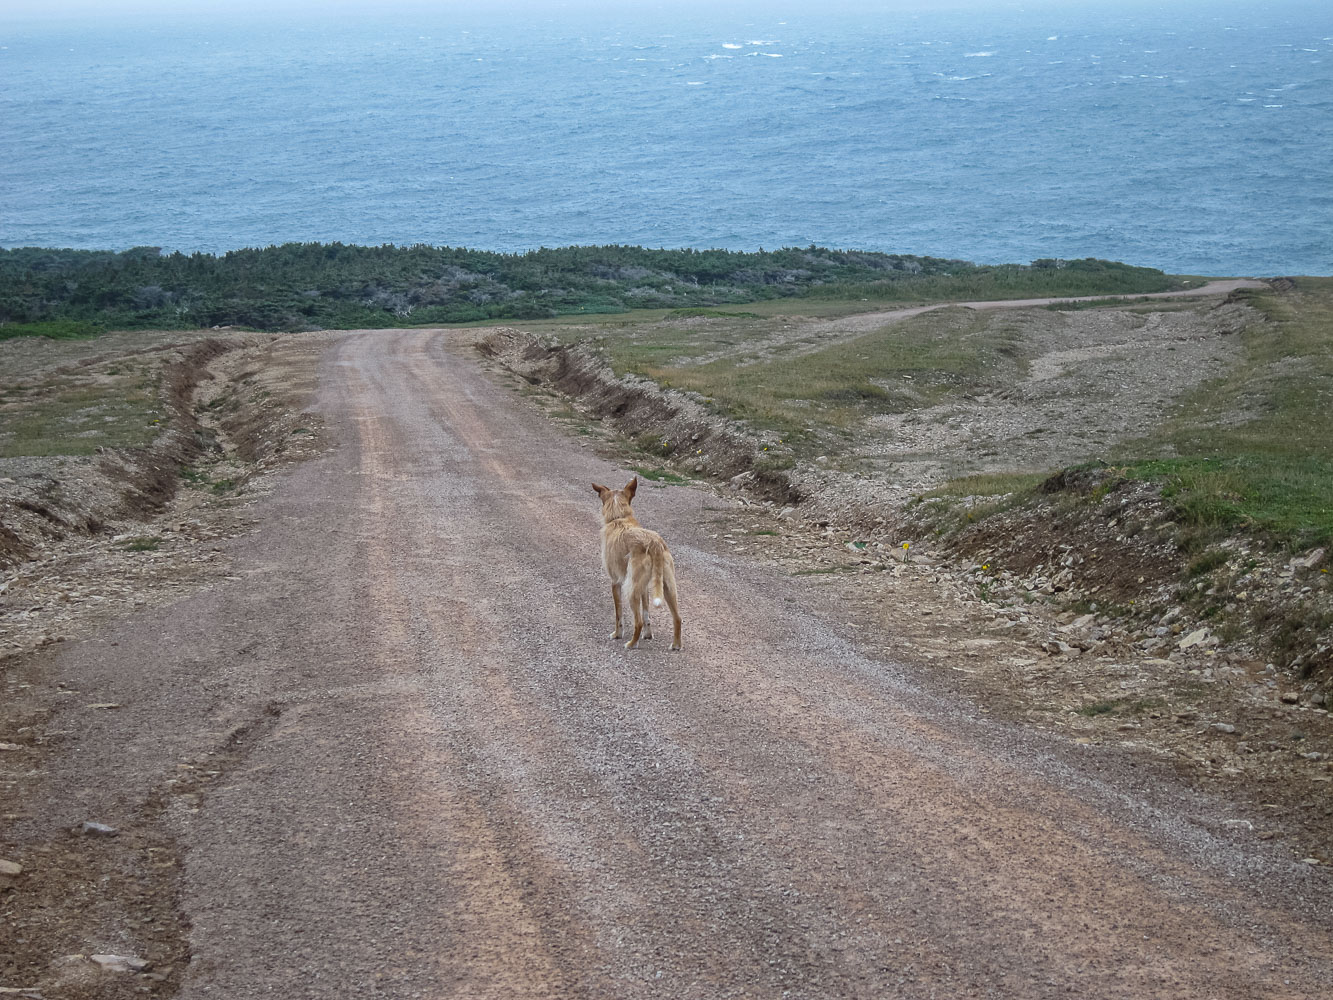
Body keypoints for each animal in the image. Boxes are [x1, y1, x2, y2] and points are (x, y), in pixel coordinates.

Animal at [594, 482, 682, 653]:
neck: (619, 517)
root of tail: (654, 543)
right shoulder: (645, 588)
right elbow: (647, 613)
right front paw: (647, 635)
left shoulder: (616, 582)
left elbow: (619, 615)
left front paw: (617, 634)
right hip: (668, 588)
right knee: (678, 619)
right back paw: (676, 645)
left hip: (631, 590)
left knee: (638, 621)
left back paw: (631, 644)